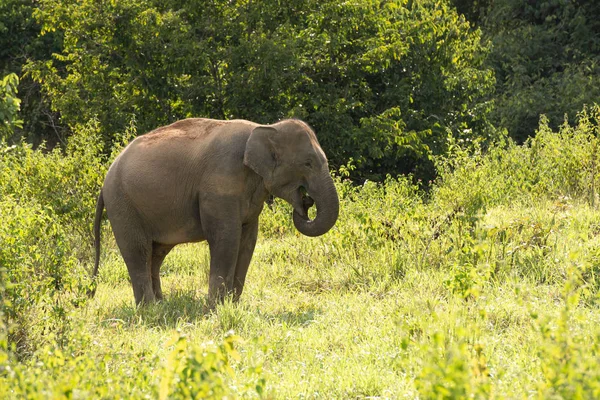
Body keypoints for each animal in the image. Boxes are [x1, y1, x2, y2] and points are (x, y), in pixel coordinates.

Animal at [91, 119, 340, 306]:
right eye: (307, 163)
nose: (307, 202)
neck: (266, 127)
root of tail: (104, 181)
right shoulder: (220, 184)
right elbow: (226, 238)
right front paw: (216, 306)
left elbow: (248, 241)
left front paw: (233, 304)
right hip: (122, 204)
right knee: (138, 251)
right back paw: (149, 308)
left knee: (156, 253)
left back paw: (161, 304)